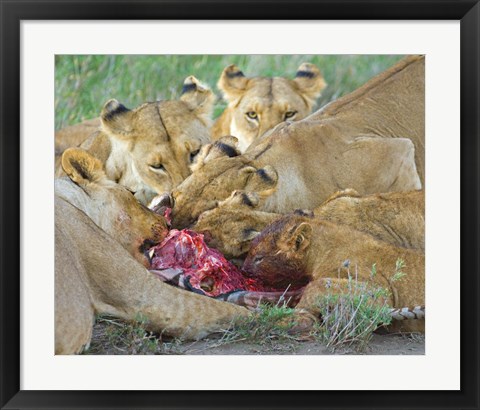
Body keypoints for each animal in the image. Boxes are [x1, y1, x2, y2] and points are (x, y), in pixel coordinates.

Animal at [244, 213, 424, 332]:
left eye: (259, 258)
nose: (244, 270)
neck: (320, 251)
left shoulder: (381, 292)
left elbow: (316, 285)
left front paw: (290, 317)